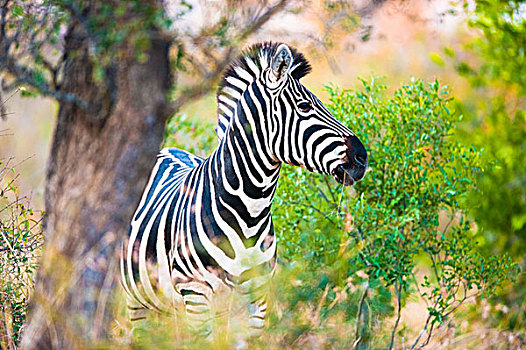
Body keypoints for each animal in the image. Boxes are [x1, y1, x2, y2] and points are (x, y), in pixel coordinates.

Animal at [120, 41, 370, 340]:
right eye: (304, 106)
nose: (361, 157)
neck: (250, 211)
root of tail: (167, 149)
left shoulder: (256, 300)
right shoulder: (196, 295)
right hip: (139, 301)